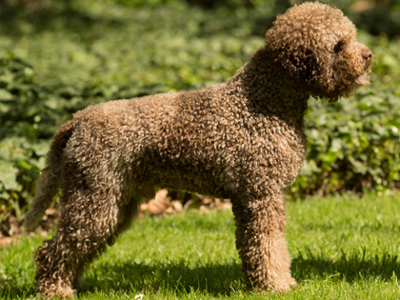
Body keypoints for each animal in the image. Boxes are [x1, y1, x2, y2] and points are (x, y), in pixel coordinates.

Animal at [24, 1, 372, 298]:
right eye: (338, 44)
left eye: (351, 37)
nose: (368, 56)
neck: (262, 101)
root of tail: (78, 119)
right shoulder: (260, 195)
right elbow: (267, 245)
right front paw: (276, 285)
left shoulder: (258, 197)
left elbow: (264, 246)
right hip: (94, 200)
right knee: (52, 250)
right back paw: (55, 290)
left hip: (114, 204)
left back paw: (73, 285)